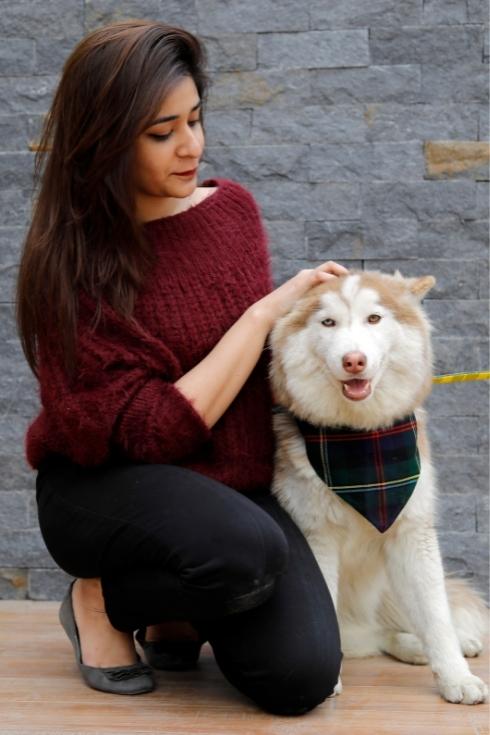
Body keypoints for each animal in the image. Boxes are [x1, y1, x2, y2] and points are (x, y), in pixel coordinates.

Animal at [270, 272, 488, 708]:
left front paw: (456, 676)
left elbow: (436, 616)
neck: (360, 438)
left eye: (373, 318)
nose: (353, 360)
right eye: (328, 323)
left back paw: (448, 645)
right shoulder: (317, 539)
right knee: (370, 637)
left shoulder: (413, 534)